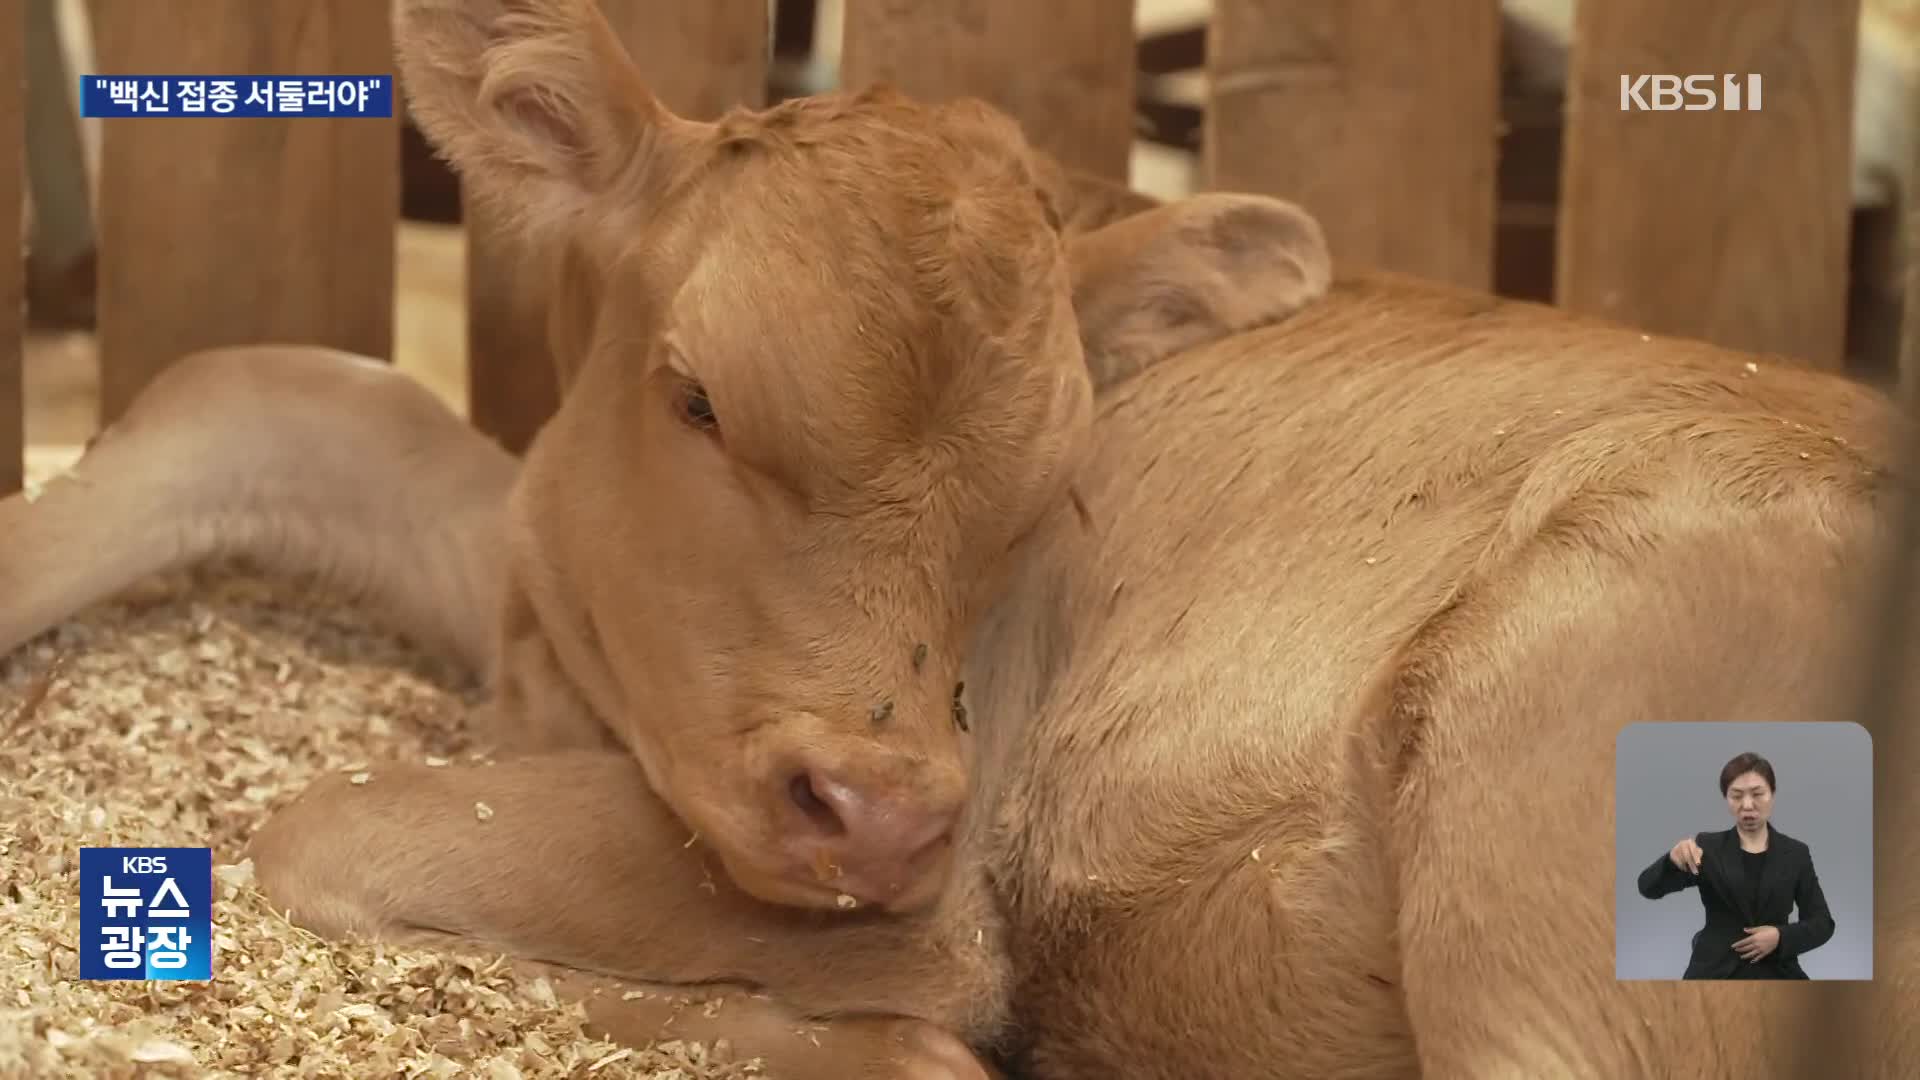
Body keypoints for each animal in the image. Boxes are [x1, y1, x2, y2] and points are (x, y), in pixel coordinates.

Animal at [0, 2, 1912, 1076]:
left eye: (1049, 491)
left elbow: (320, 829)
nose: (884, 813)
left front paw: (868, 1037)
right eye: (694, 397)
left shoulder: (941, 896)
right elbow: (283, 392)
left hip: (1548, 768)